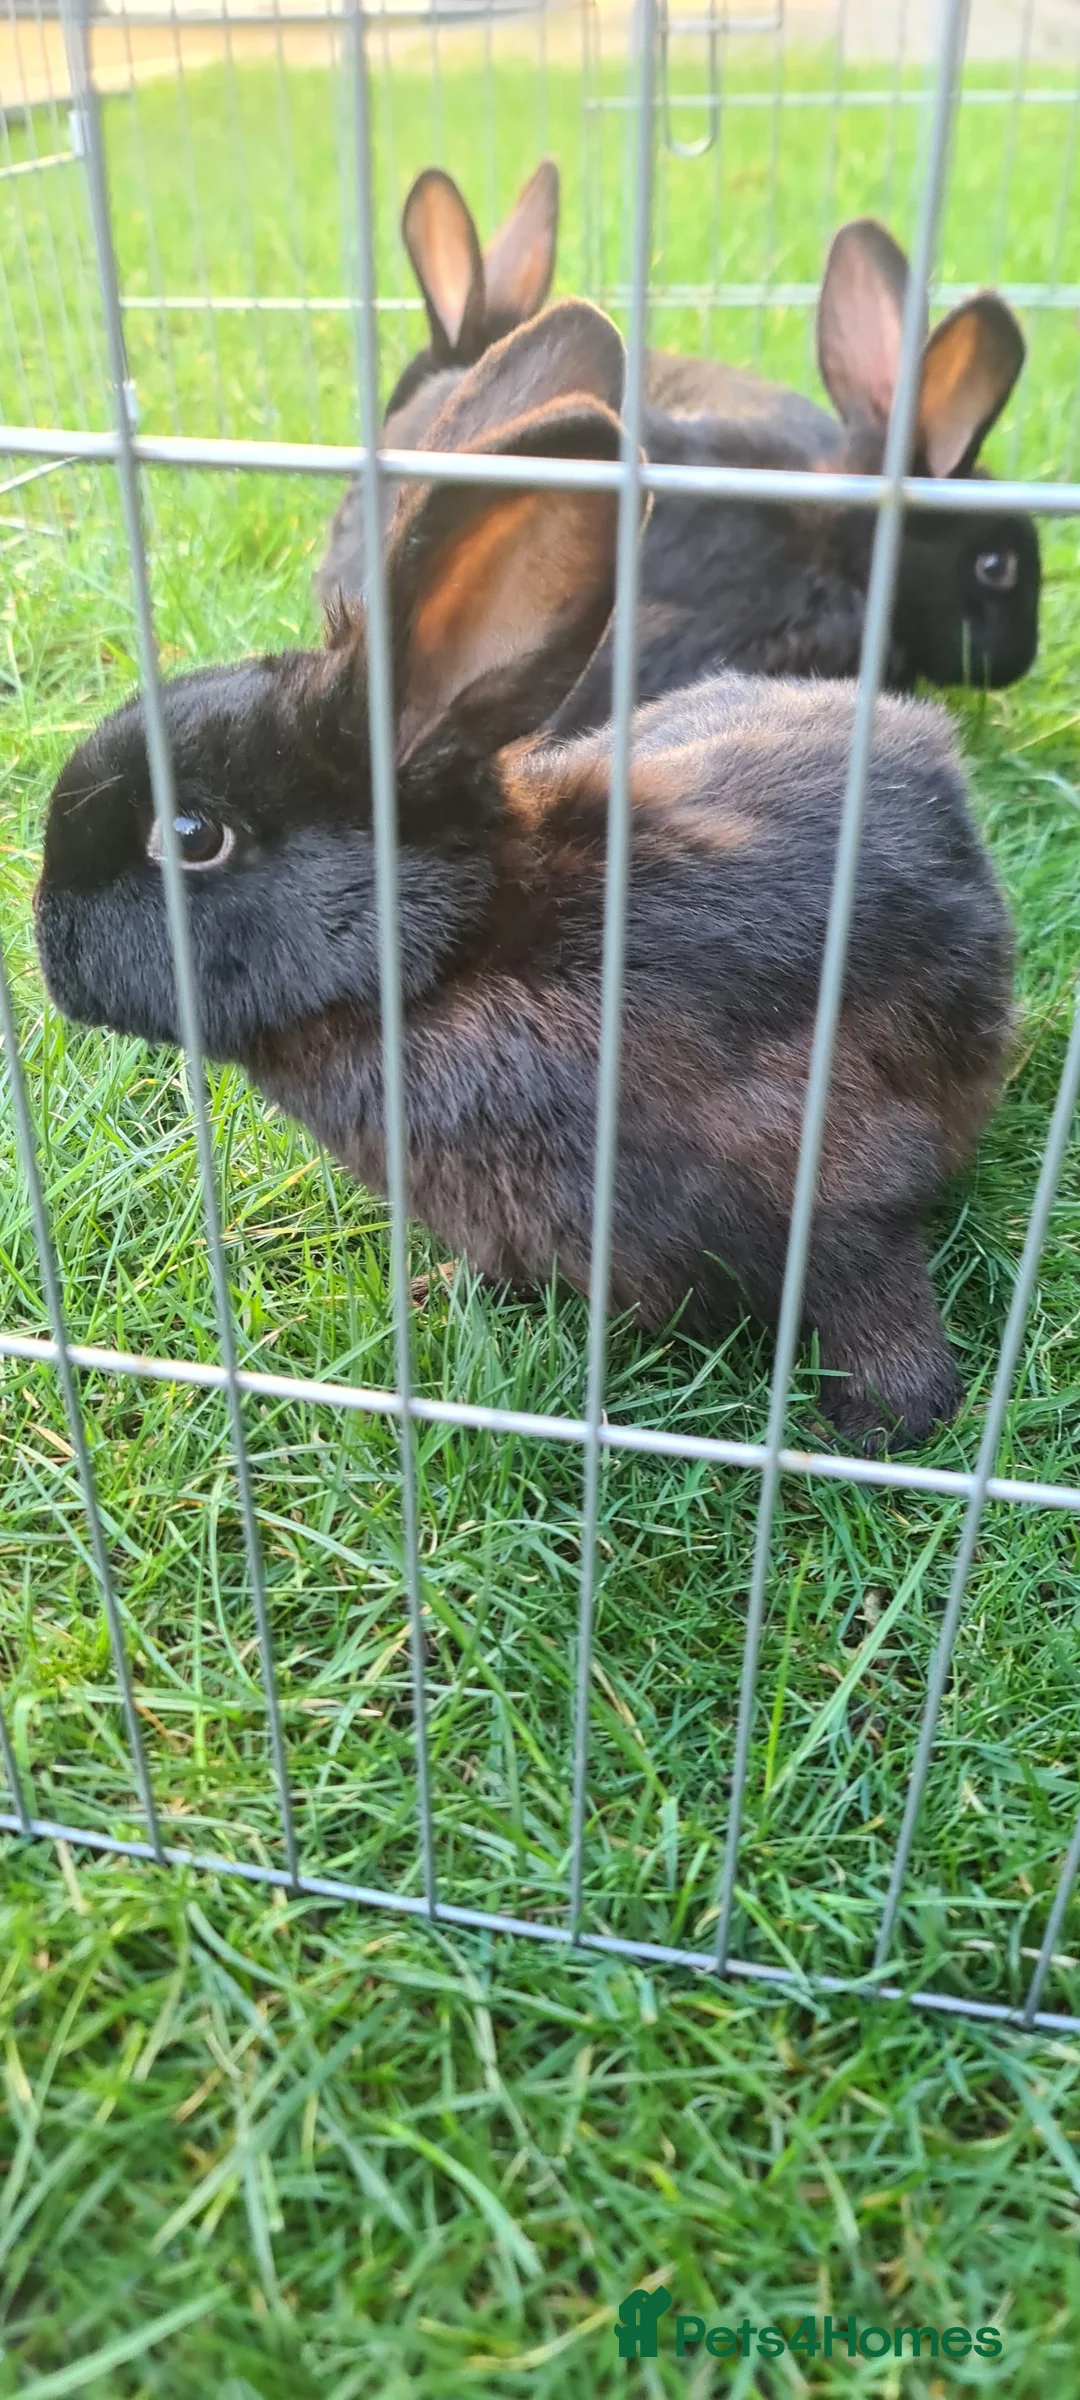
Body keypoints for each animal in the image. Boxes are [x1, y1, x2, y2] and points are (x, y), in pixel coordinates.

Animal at [37, 300, 1014, 1454]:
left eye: (190, 834)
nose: (48, 946)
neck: (449, 963)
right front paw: (442, 1293)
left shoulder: (837, 1176)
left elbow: (872, 1281)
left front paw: (882, 1423)